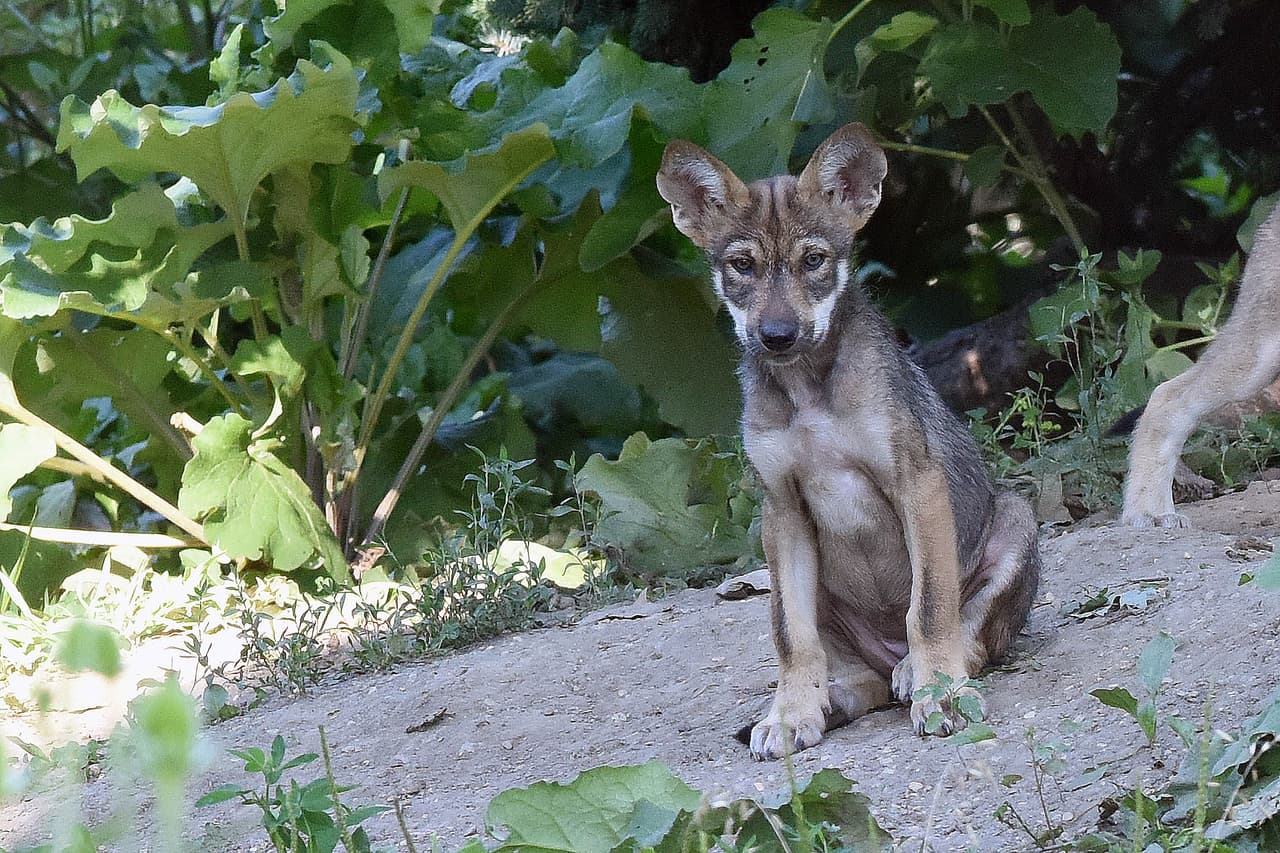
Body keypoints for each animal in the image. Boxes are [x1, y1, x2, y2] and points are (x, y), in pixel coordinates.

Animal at [656, 123, 1042, 759]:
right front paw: (790, 714)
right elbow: (791, 638)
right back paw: (833, 701)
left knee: (969, 640)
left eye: (814, 260)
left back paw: (919, 675)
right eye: (741, 265)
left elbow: (929, 608)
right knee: (857, 677)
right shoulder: (782, 510)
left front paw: (941, 694)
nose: (777, 335)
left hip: (1015, 519)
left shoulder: (917, 483)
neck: (807, 394)